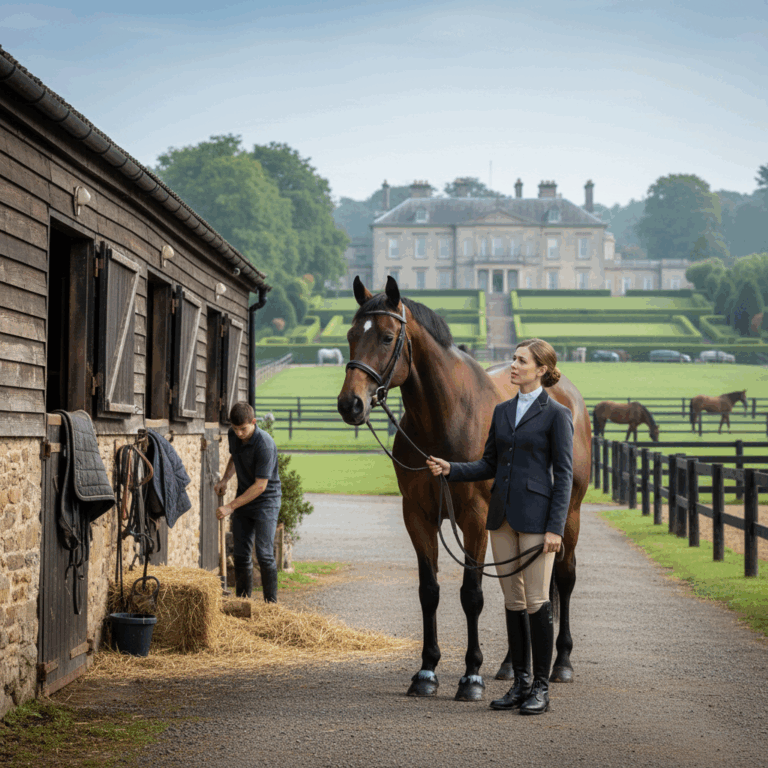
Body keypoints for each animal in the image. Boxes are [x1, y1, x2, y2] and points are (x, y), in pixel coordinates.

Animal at [337, 276, 591, 701]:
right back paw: (511, 665)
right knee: (517, 585)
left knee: (565, 578)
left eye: (387, 337)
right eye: (352, 335)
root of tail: (566, 393)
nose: (350, 404)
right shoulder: (417, 515)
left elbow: (471, 594)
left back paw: (562, 663)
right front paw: (426, 672)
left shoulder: (474, 518)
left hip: (568, 515)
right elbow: (429, 591)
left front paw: (471, 675)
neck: (446, 416)